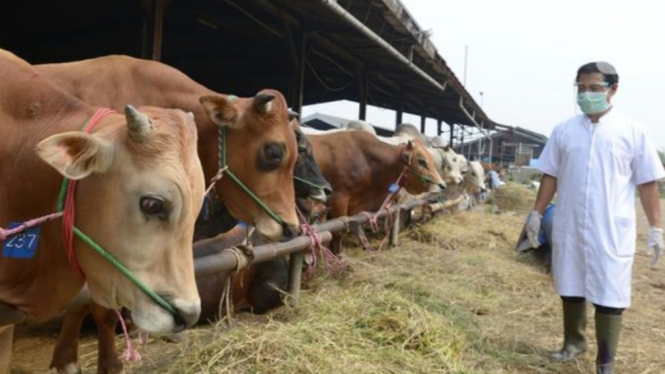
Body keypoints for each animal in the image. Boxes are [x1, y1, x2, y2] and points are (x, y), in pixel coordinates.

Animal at [308, 130, 444, 253]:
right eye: (421, 161)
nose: (442, 185)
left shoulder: (355, 205)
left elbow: (357, 225)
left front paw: (366, 245)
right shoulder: (338, 199)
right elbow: (338, 231)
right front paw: (337, 256)